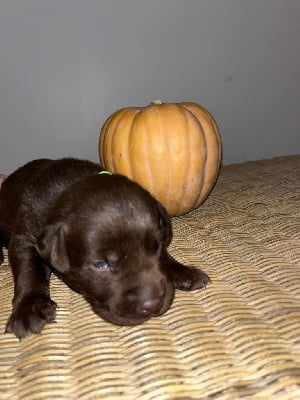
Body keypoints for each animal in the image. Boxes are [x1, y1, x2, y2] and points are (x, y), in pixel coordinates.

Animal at [0, 158, 210, 340]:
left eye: (156, 248)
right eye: (101, 264)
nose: (151, 304)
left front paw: (183, 271)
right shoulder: (25, 236)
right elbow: (29, 268)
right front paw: (29, 308)